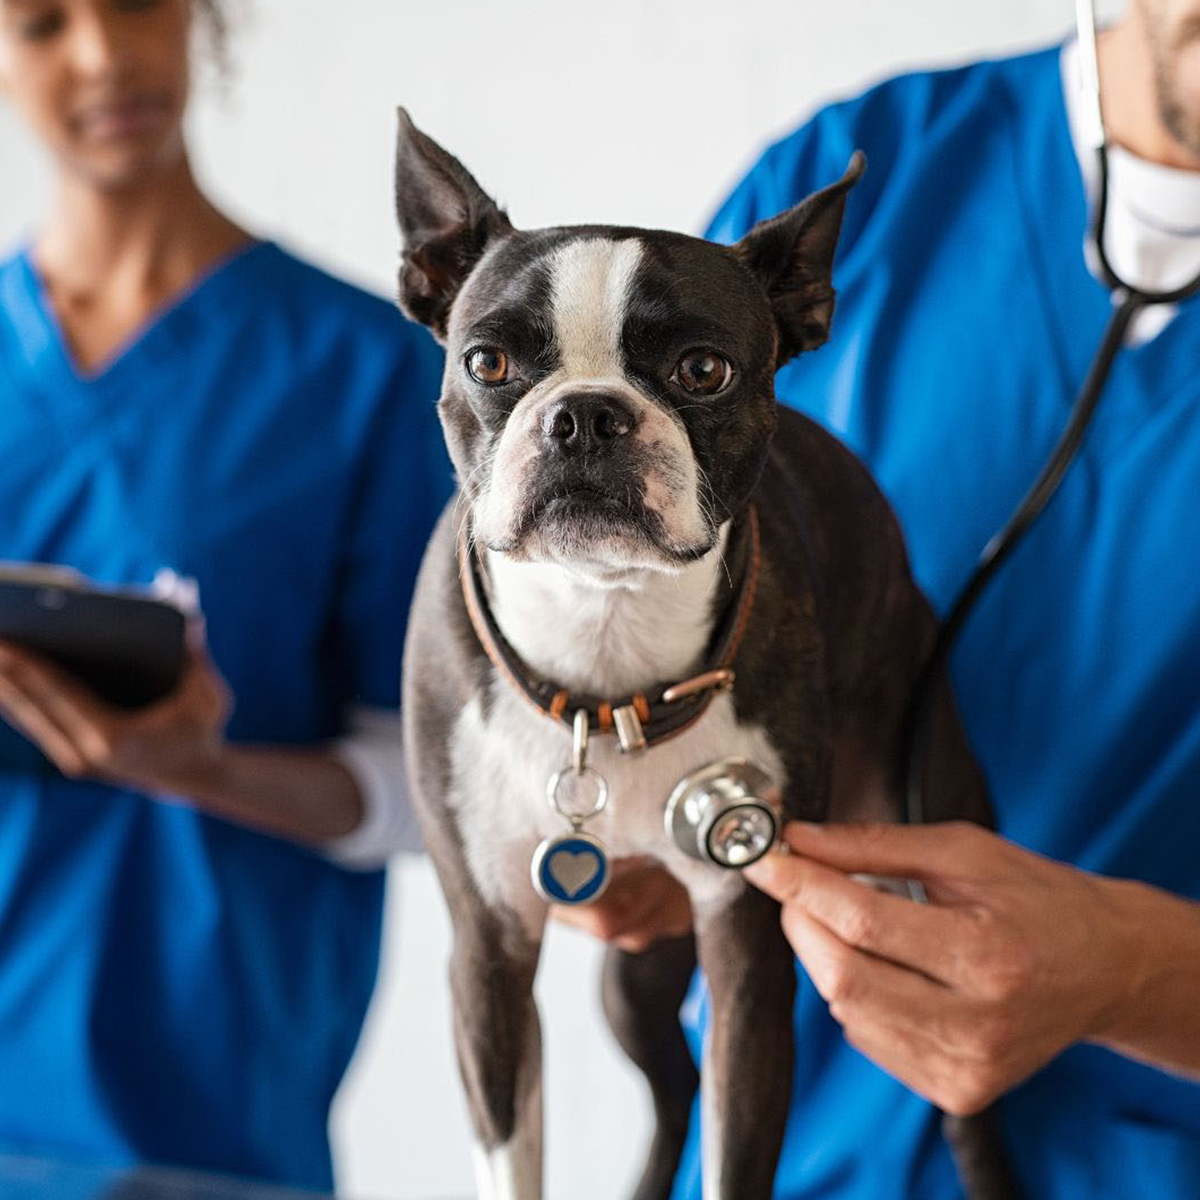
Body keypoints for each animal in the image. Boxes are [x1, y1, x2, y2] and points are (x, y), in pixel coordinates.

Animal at [398, 112, 1017, 1200]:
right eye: (486, 363)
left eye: (702, 371)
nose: (585, 414)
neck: (604, 651)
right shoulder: (488, 951)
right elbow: (514, 1152)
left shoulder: (746, 949)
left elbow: (737, 1145)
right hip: (633, 973)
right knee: (672, 1084)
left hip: (919, 833)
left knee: (960, 1105)